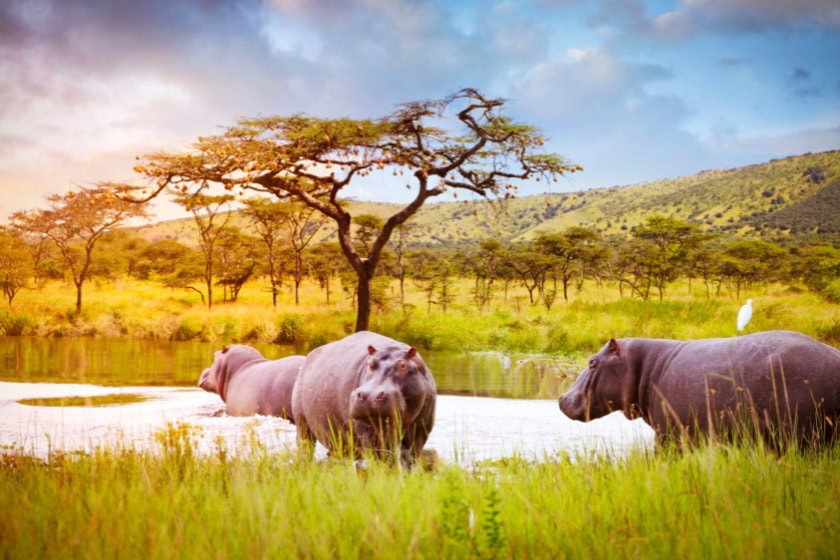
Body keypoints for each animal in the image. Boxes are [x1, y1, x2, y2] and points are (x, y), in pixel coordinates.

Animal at [290, 330, 436, 466]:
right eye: (370, 363)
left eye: (403, 365)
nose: (369, 396)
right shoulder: (369, 433)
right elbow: (383, 461)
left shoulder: (420, 431)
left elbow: (409, 460)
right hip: (303, 424)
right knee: (305, 448)